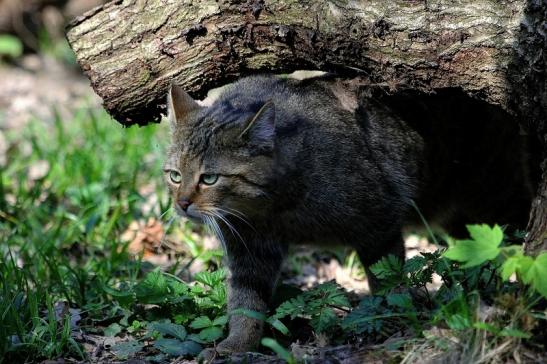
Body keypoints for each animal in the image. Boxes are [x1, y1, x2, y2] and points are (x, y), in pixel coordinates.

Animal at [164, 74, 536, 358]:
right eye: (175, 176)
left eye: (209, 178)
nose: (182, 204)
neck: (273, 206)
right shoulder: (249, 249)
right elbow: (244, 302)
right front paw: (238, 344)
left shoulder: (379, 226)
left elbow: (385, 283)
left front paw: (388, 322)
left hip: (496, 203)